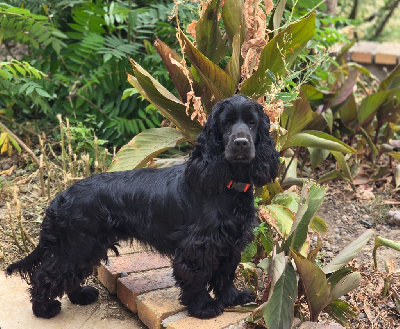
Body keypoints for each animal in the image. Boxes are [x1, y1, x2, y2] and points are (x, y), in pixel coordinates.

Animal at [7, 94, 280, 318]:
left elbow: (225, 274)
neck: (227, 184)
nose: (241, 143)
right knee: (45, 274)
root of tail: (61, 196)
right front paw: (204, 307)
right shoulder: (197, 246)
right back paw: (44, 309)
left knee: (68, 274)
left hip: (87, 247)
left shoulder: (230, 242)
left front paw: (233, 297)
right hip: (78, 245)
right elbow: (196, 276)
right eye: (226, 123)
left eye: (252, 122)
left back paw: (80, 295)